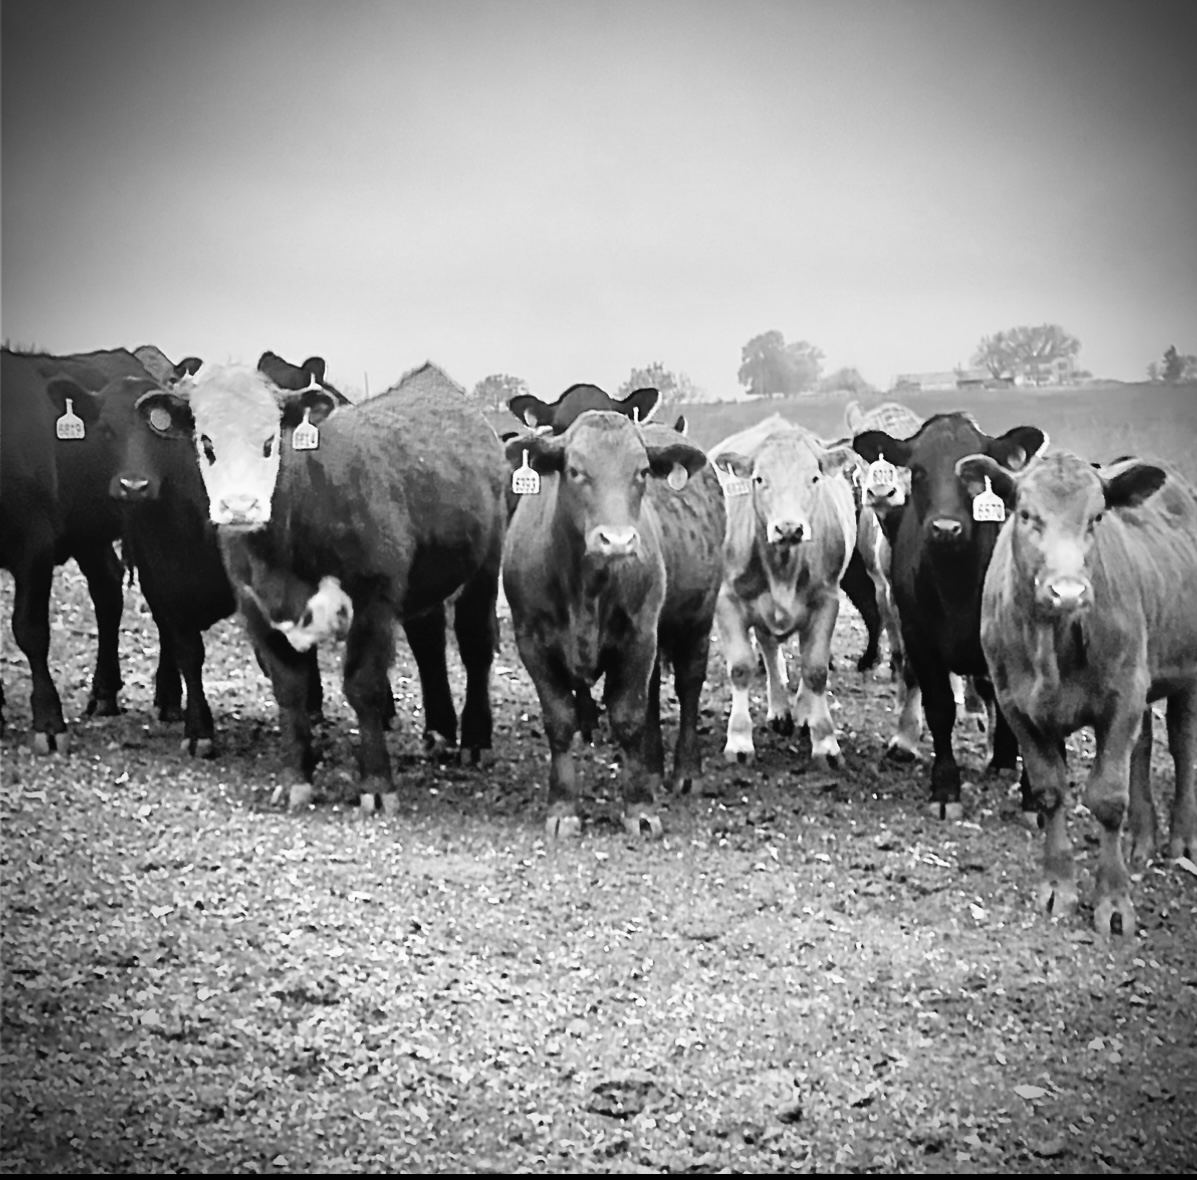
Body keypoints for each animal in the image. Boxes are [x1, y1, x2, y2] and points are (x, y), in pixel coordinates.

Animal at [171, 360, 505, 811]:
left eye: (270, 441)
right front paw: (294, 779)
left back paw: (475, 740)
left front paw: (377, 786)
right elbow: (290, 692)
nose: (240, 506)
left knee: (475, 646)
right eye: (206, 442)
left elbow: (364, 687)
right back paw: (439, 732)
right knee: (429, 642)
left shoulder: (374, 603)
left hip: (484, 569)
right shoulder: (256, 610)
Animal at [502, 408, 718, 838]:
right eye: (574, 470)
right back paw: (652, 768)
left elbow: (628, 718)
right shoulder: (531, 642)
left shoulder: (639, 636)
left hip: (697, 620)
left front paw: (640, 807)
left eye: (642, 472)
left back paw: (685, 771)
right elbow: (560, 721)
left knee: (688, 686)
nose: (617, 541)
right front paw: (562, 806)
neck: (585, 588)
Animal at [711, 416, 859, 769]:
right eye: (759, 478)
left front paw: (826, 743)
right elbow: (741, 667)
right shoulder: (727, 600)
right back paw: (779, 710)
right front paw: (739, 740)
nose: (789, 528)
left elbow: (816, 669)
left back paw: (803, 714)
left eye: (814, 478)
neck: (782, 567)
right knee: (768, 647)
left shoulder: (826, 601)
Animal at [852, 412, 1047, 818]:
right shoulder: (918, 634)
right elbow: (939, 706)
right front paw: (945, 789)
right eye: (918, 470)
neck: (957, 581)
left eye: (975, 473)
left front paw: (1035, 797)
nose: (945, 528)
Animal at [962, 450, 1197, 934]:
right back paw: (1142, 838)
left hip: (1184, 670)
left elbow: (1107, 799)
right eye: (1026, 515)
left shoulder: (1123, 697)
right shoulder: (1016, 706)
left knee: (1183, 743)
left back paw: (1182, 840)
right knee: (1143, 747)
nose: (1067, 591)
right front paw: (1057, 887)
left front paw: (1113, 901)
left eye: (1097, 517)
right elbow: (1050, 790)